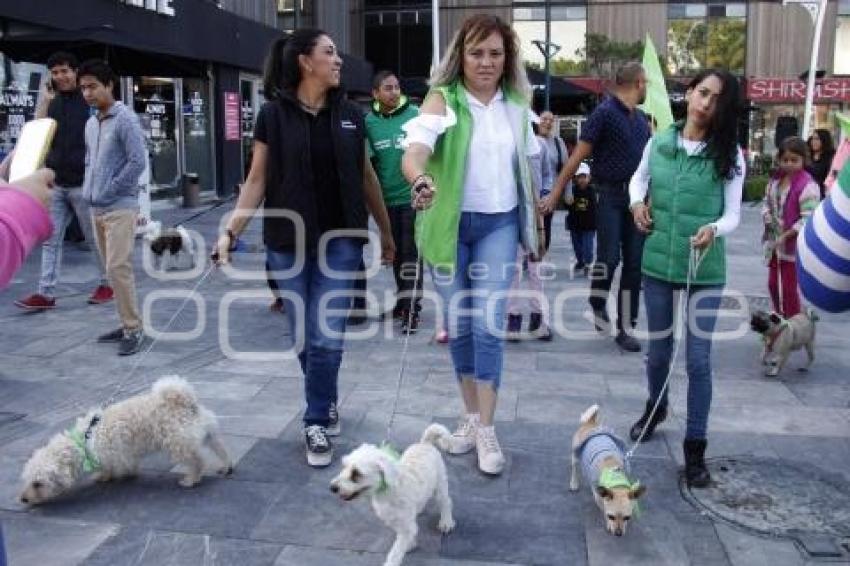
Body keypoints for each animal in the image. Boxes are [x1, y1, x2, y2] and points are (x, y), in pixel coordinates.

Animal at [19, 378, 230, 506]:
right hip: (208, 432)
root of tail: (183, 401)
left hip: (179, 443)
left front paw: (121, 475)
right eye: (27, 481)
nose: (23, 499)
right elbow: (108, 468)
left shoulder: (118, 452)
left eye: (37, 484)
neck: (83, 442)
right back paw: (226, 467)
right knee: (220, 448)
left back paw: (191, 479)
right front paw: (104, 476)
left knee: (197, 461)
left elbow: (120, 466)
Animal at [328, 426, 454, 566]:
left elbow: (396, 551)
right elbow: (405, 532)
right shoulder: (392, 519)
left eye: (356, 473)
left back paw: (446, 522)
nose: (332, 488)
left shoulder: (404, 525)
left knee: (446, 502)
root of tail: (425, 443)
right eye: (344, 467)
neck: (387, 492)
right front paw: (410, 543)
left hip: (440, 484)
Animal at [568, 406, 644, 540]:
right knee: (574, 468)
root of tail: (591, 422)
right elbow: (602, 505)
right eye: (611, 516)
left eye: (627, 517)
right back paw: (574, 483)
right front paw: (608, 524)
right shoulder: (600, 497)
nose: (618, 533)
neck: (614, 476)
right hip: (575, 454)